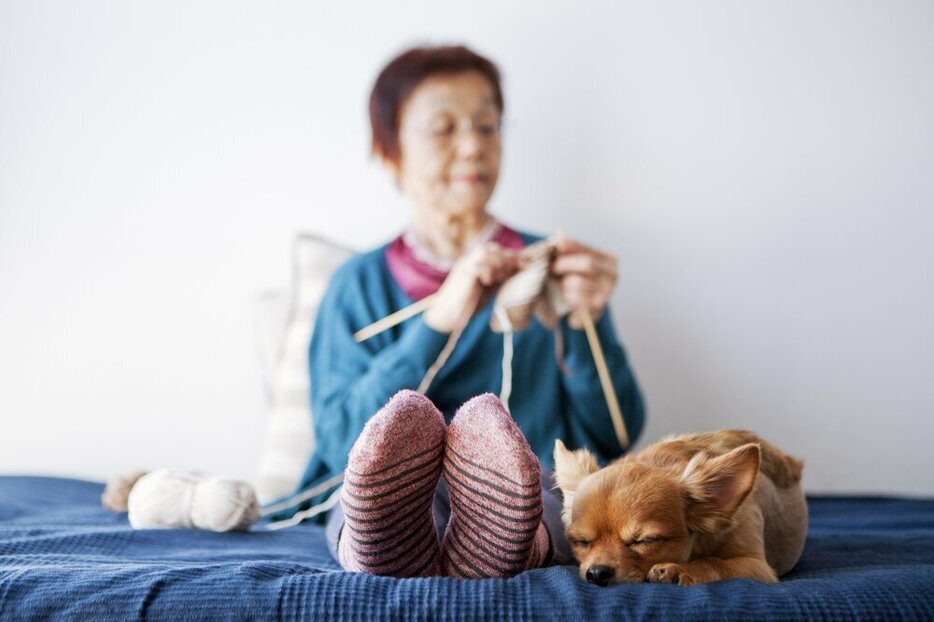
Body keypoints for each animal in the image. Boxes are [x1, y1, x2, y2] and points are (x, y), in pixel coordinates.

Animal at [556, 432, 812, 588]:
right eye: (581, 542)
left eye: (645, 541)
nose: (597, 573)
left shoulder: (758, 568)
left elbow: (715, 562)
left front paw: (677, 570)